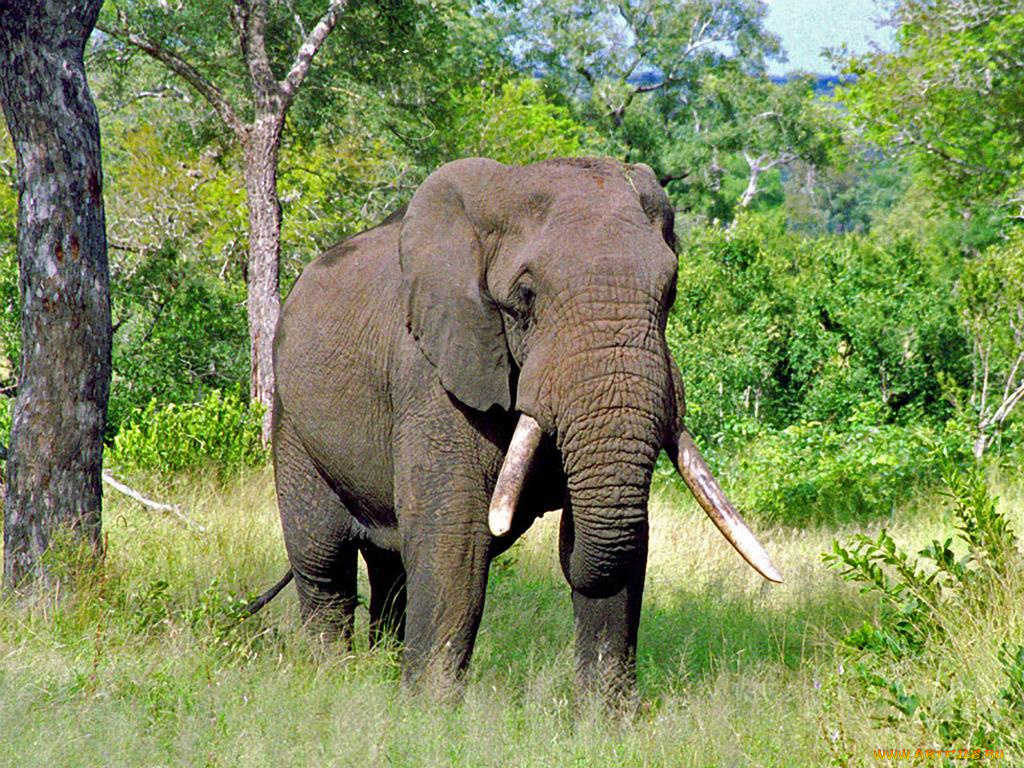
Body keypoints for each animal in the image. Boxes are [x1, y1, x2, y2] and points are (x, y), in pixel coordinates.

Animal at [268, 154, 778, 696]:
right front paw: (428, 711)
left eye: (671, 293)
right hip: (291, 422)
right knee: (324, 565)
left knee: (392, 570)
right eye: (525, 297)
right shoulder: (432, 376)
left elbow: (623, 544)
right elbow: (455, 540)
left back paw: (379, 672)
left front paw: (605, 717)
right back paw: (331, 681)